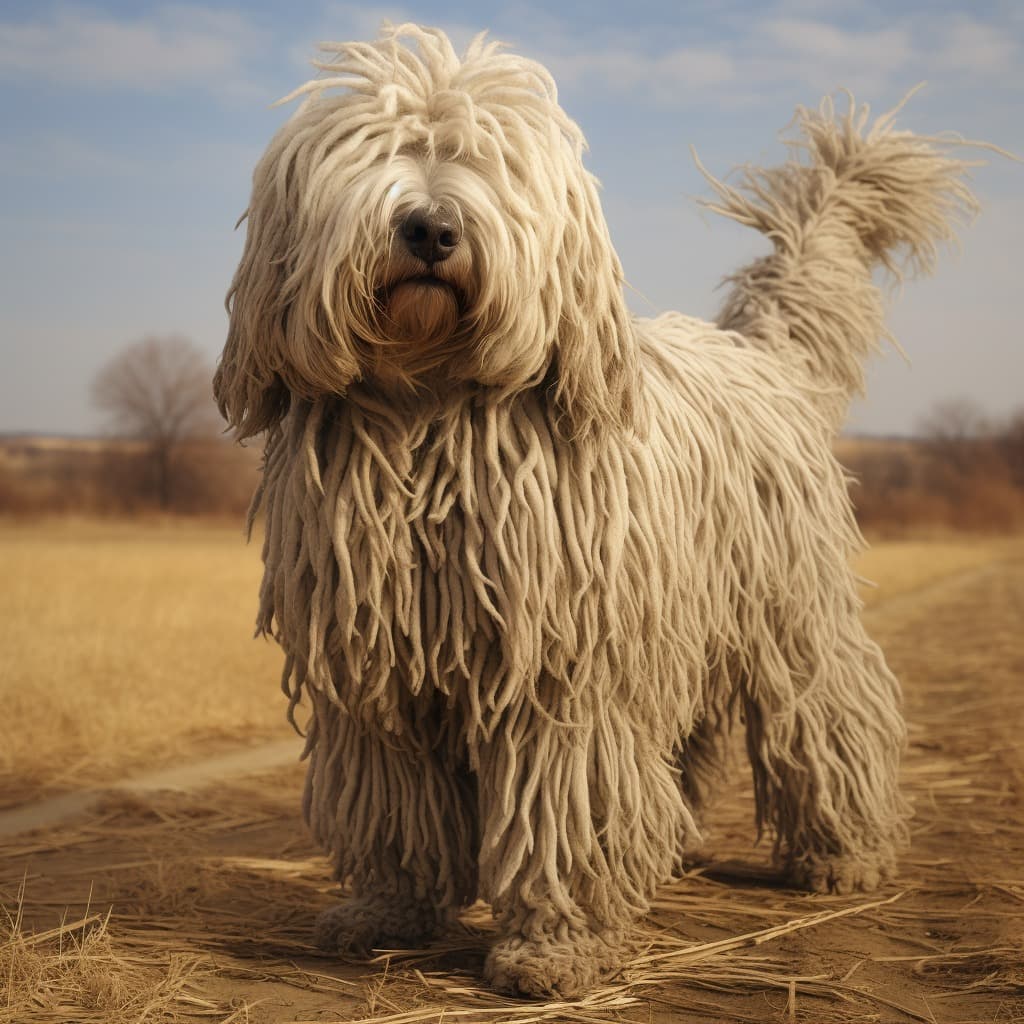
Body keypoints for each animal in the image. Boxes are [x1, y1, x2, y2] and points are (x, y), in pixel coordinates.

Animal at [214, 25, 974, 999]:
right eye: (379, 151)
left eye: (489, 162)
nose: (431, 228)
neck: (429, 410)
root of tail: (761, 353)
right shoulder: (378, 669)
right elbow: (397, 800)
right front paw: (389, 910)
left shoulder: (562, 673)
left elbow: (561, 809)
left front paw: (555, 946)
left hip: (788, 613)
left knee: (829, 713)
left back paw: (845, 854)